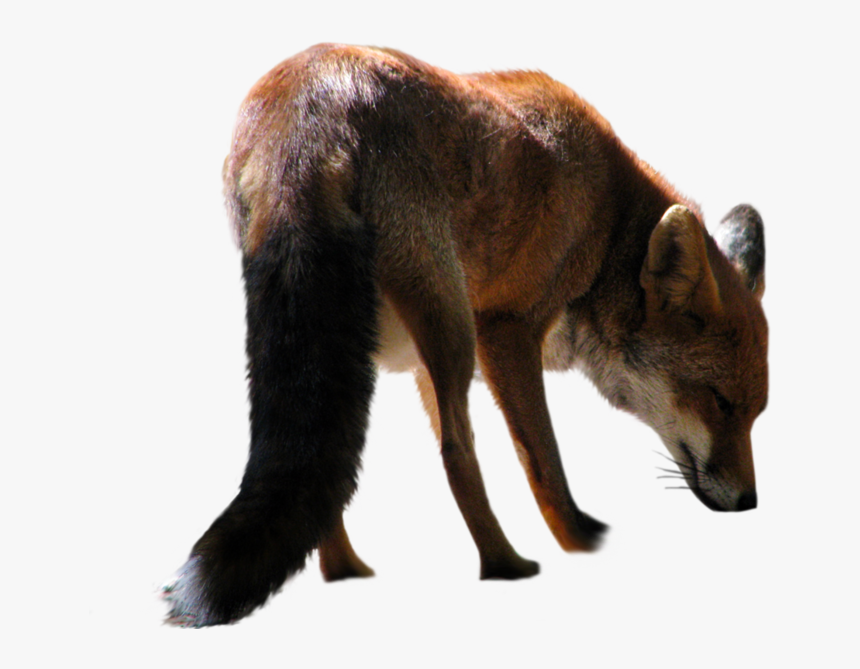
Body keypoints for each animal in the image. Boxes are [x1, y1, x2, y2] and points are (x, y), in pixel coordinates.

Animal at [163, 43, 768, 627]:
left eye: (755, 414)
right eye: (719, 403)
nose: (749, 503)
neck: (607, 225)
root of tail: (307, 111)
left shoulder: (422, 365)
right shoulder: (507, 330)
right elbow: (545, 468)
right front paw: (581, 544)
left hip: (398, 342)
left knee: (335, 466)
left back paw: (347, 572)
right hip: (453, 326)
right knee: (456, 452)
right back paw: (506, 567)